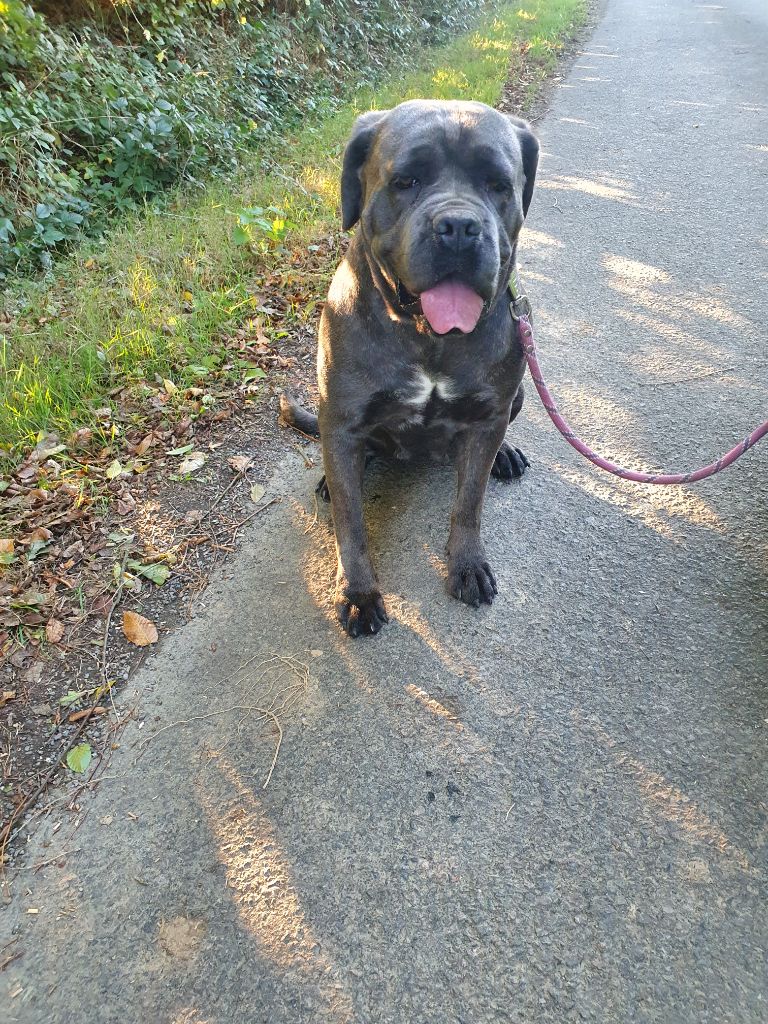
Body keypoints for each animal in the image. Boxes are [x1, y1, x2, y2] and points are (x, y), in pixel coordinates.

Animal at [281, 99, 538, 637]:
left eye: (497, 184)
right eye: (406, 181)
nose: (459, 226)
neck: (427, 337)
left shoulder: (488, 417)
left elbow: (469, 504)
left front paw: (466, 564)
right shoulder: (345, 420)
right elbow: (352, 524)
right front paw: (358, 592)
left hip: (518, 396)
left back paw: (505, 455)